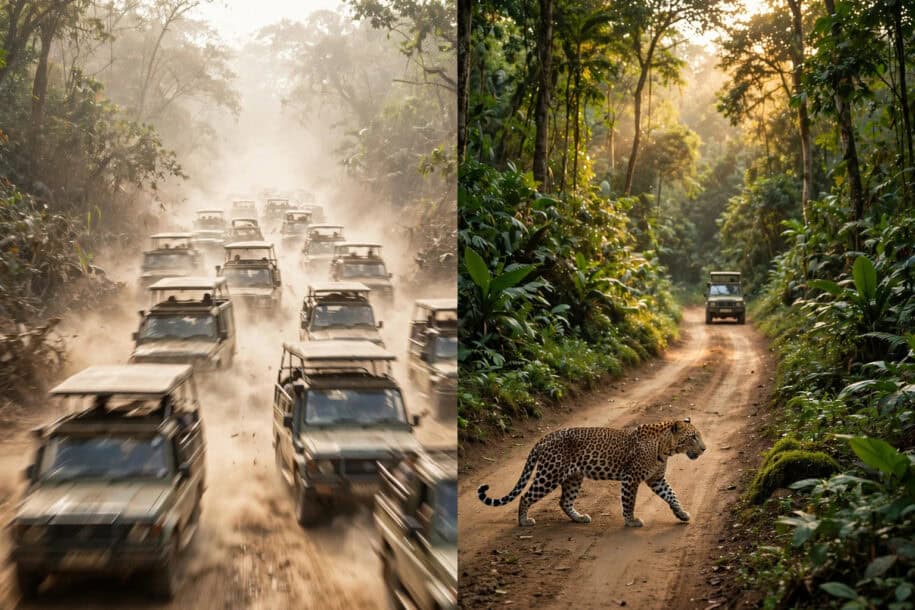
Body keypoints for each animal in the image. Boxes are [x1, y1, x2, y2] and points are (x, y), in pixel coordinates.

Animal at [477, 418, 706, 527]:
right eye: (693, 437)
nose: (704, 449)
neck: (666, 448)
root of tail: (545, 437)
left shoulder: (656, 479)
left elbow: (672, 495)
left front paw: (681, 514)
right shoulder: (630, 478)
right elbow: (629, 502)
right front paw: (631, 521)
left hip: (573, 477)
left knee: (564, 501)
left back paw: (579, 518)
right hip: (550, 474)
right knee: (525, 496)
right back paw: (524, 522)